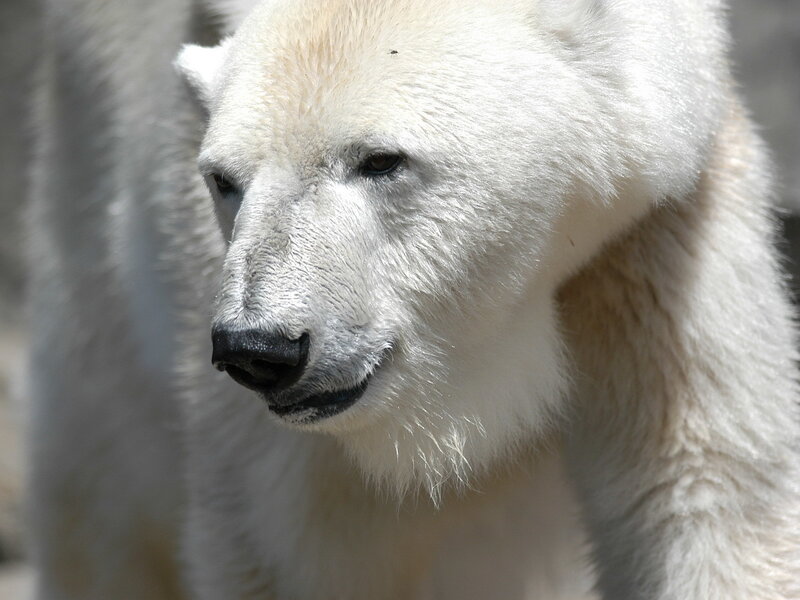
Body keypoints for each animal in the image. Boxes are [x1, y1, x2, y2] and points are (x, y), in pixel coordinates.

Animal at [28, 0, 800, 599]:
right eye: (223, 179)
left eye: (381, 160)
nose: (260, 349)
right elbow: (291, 543)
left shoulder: (655, 237)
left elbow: (700, 490)